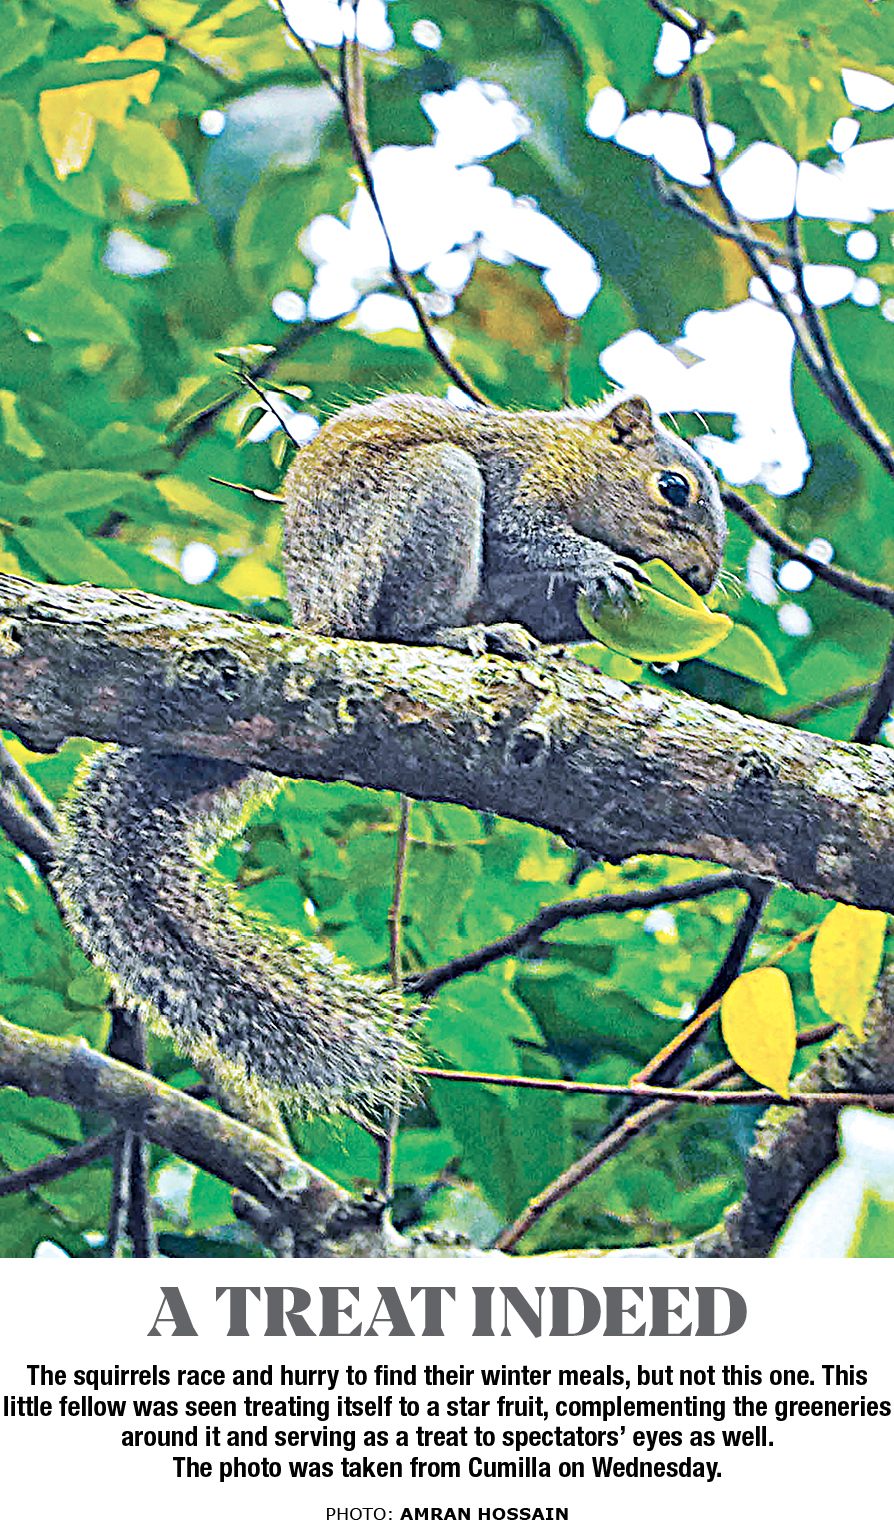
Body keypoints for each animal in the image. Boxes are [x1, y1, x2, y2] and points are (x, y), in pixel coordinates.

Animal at [51, 392, 726, 1117]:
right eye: (674, 487)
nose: (701, 580)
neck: (582, 462)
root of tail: (319, 622)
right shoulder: (525, 477)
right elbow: (522, 533)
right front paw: (595, 564)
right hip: (431, 496)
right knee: (401, 622)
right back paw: (452, 634)